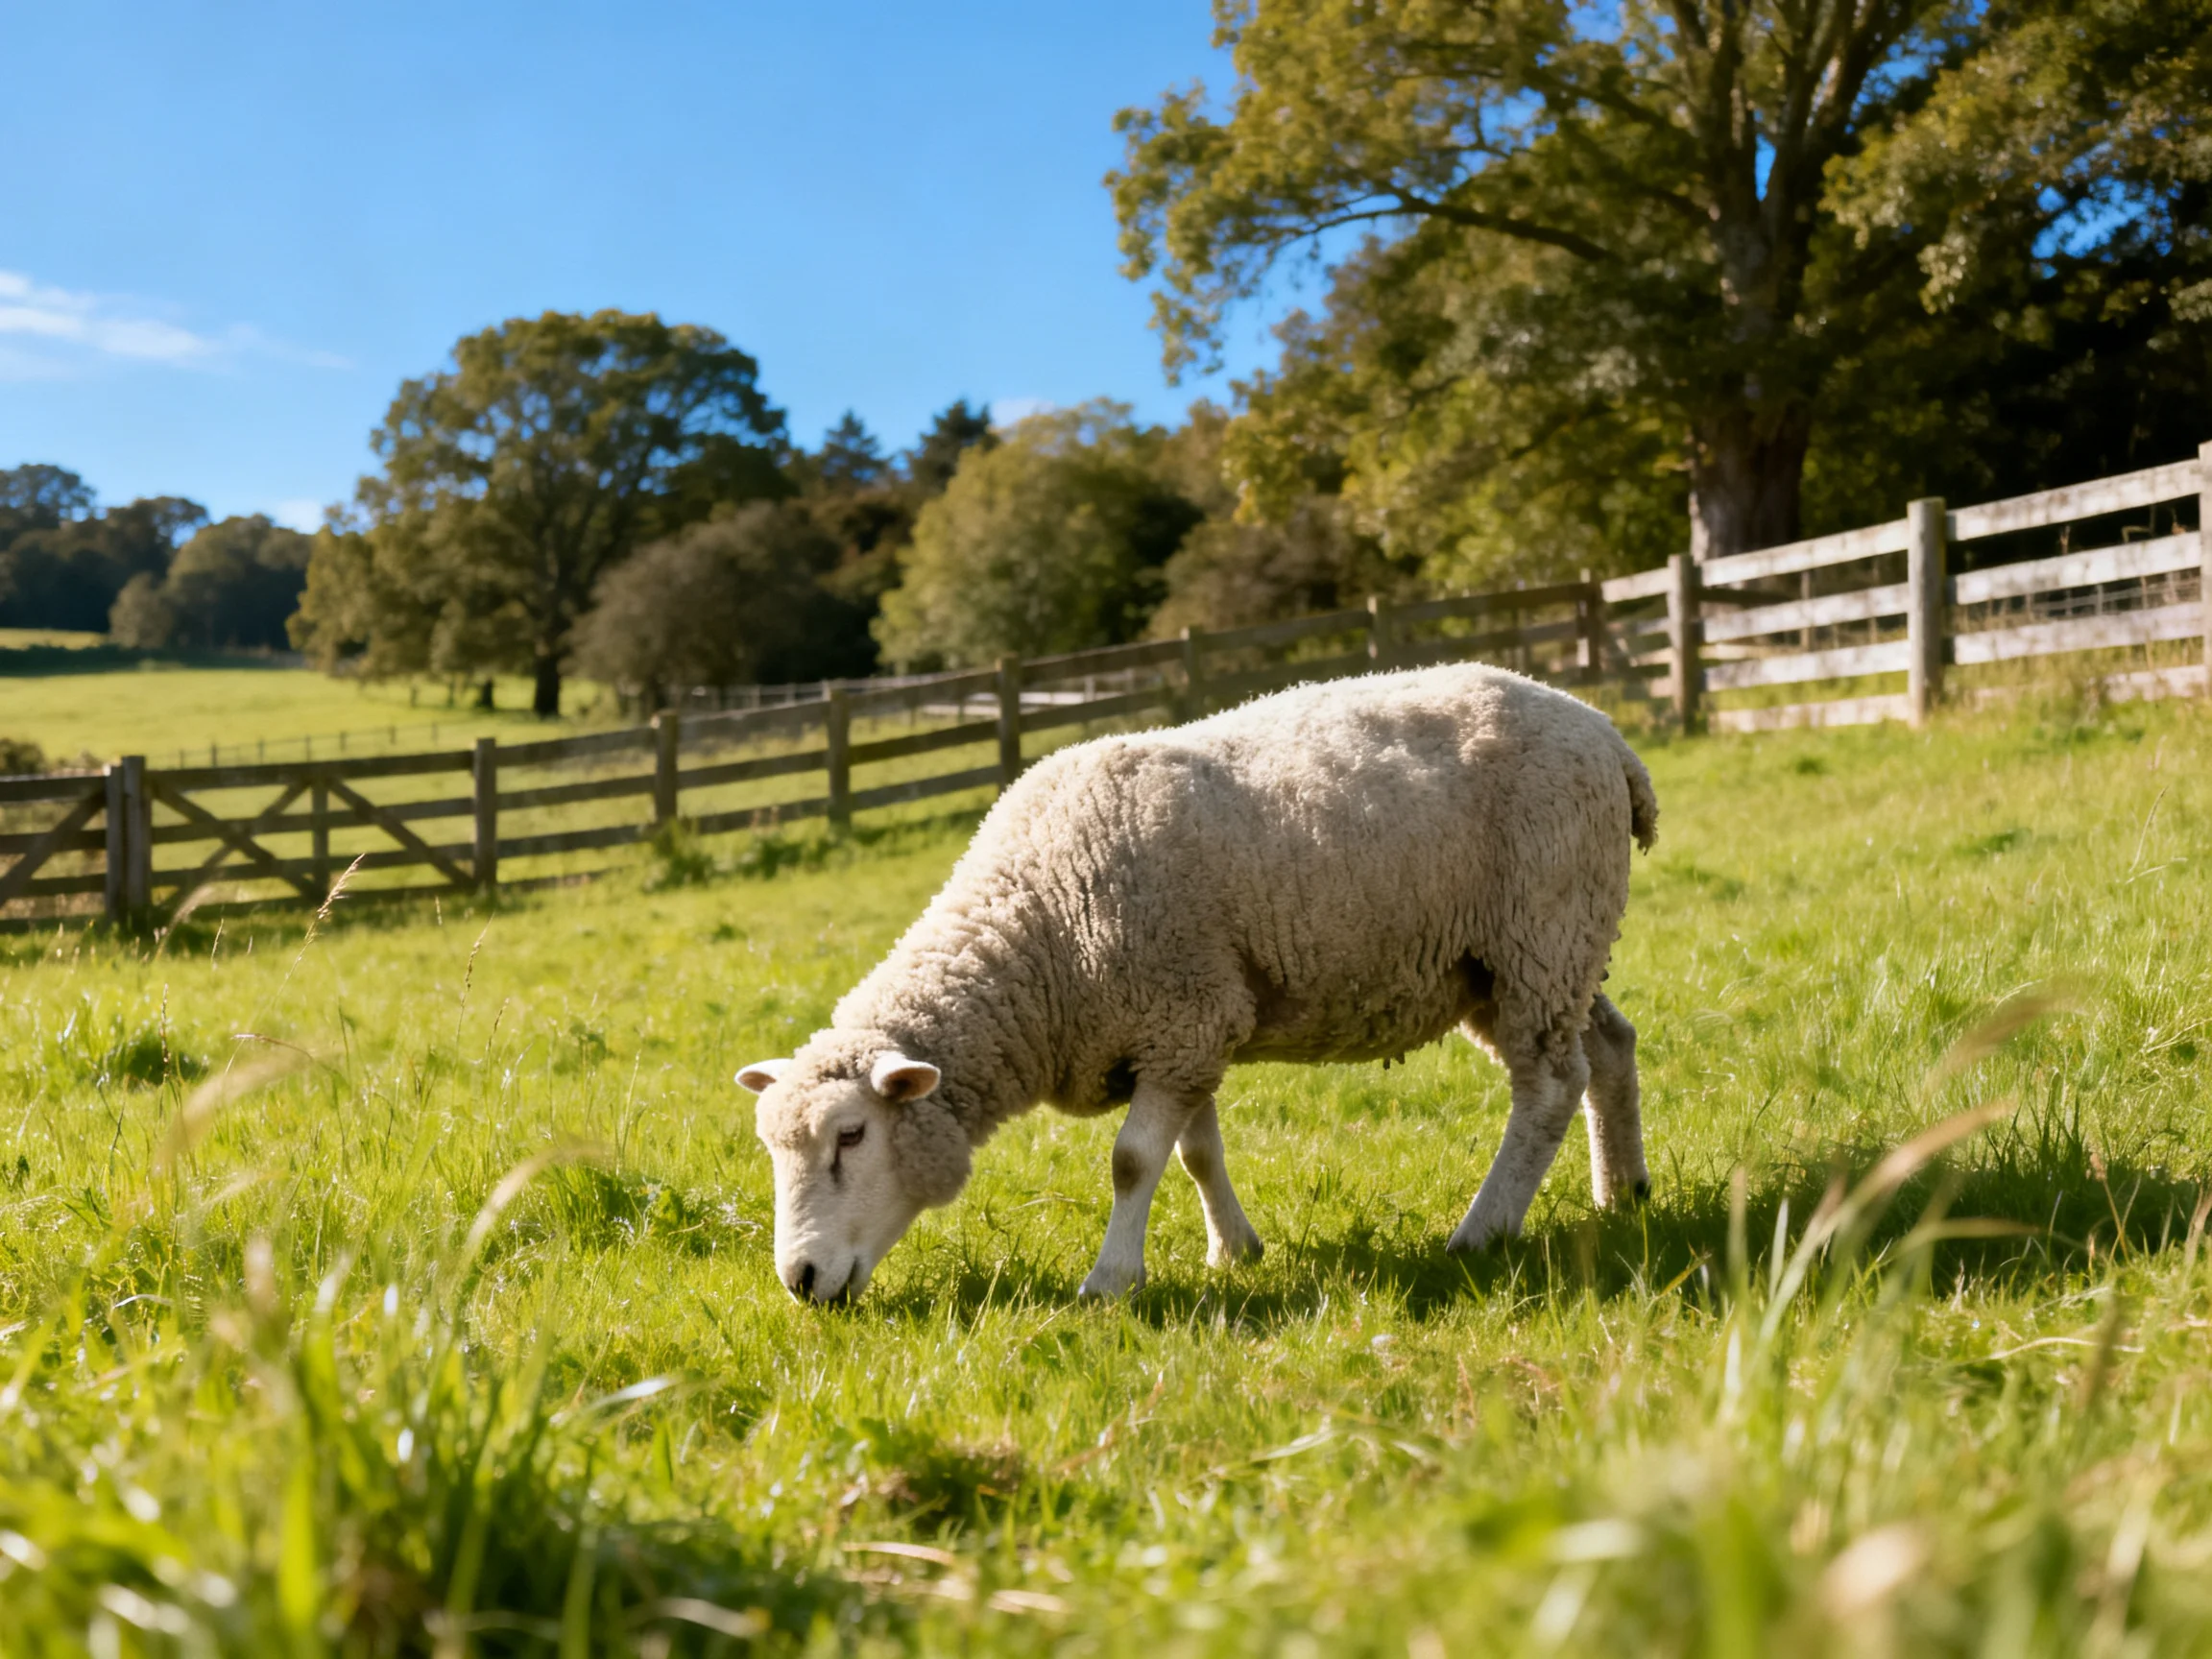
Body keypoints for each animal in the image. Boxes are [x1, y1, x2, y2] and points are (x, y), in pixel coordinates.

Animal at [737, 662, 1658, 1303]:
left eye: (851, 1136)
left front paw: (1111, 1280)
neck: (1037, 931)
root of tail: (1606, 735)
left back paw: (1483, 1230)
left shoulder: (1183, 1014)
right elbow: (1195, 1152)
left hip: (1542, 927)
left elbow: (1133, 1160)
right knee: (1609, 1045)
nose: (801, 1281)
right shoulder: (1188, 1023)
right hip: (1526, 957)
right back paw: (1622, 1194)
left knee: (1548, 1085)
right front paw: (1233, 1251)